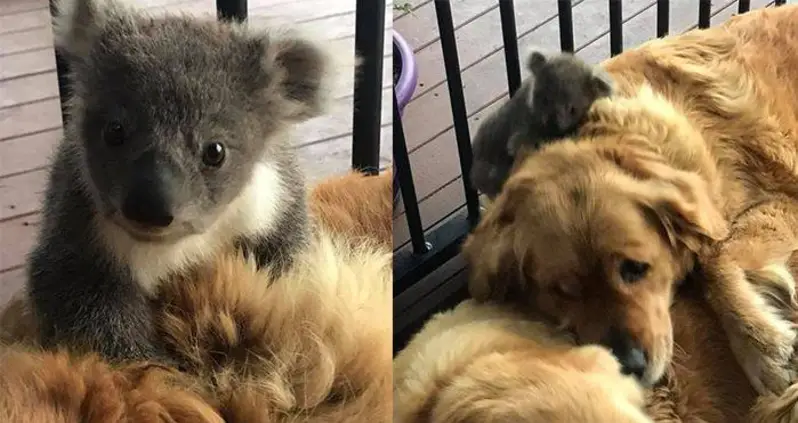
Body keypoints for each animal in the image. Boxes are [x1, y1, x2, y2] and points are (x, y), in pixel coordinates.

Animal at [27, 0, 334, 364]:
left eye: (215, 152)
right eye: (114, 132)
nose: (149, 209)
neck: (181, 242)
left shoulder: (271, 197)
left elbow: (285, 255)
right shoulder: (80, 234)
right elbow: (94, 310)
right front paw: (170, 367)